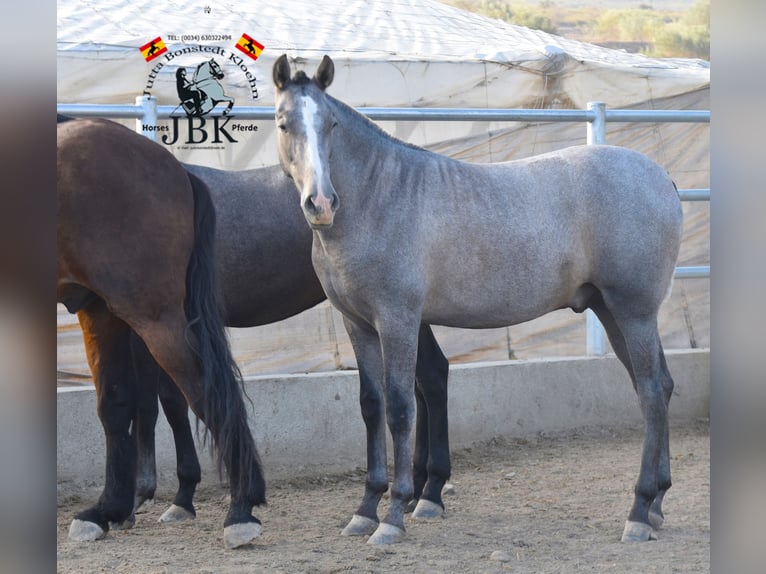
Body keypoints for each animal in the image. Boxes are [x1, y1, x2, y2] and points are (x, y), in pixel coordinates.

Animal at [56, 118, 264, 548]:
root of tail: (175, 169)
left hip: (153, 317)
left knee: (206, 392)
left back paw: (241, 509)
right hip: (102, 311)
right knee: (116, 405)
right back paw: (106, 511)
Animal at [272, 55, 688, 548]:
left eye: (331, 124)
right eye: (283, 123)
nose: (320, 202)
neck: (380, 198)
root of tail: (662, 177)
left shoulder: (397, 319)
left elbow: (400, 408)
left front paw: (393, 516)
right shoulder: (357, 324)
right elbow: (371, 406)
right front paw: (364, 510)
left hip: (634, 311)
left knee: (651, 393)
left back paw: (639, 511)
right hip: (612, 312)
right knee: (659, 386)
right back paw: (657, 504)